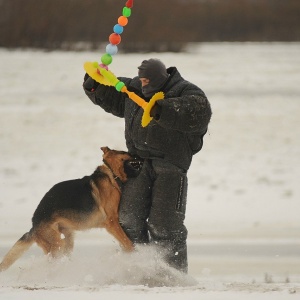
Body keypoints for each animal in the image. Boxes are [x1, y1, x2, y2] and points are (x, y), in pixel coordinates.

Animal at [0, 148, 143, 272]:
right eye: (125, 152)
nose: (140, 155)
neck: (111, 174)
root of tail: (33, 227)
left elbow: (126, 242)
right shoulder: (112, 222)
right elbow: (128, 243)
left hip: (67, 239)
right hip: (57, 245)